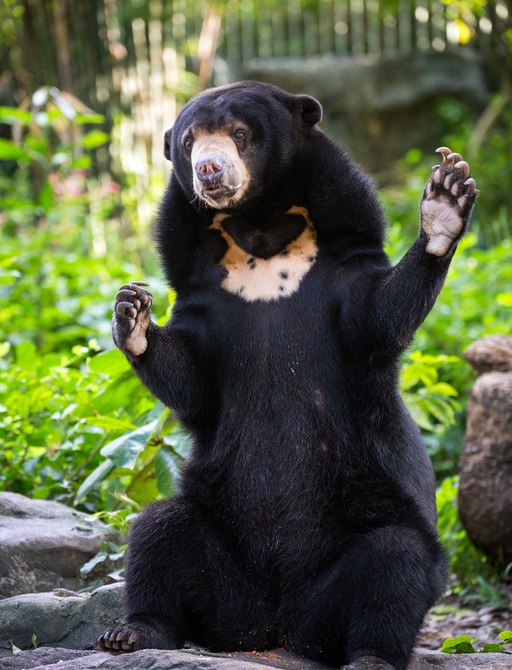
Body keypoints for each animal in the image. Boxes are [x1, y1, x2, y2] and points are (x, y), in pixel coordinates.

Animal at [97, 81, 477, 670]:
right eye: (189, 141)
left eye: (239, 133)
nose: (209, 170)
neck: (260, 230)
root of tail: (277, 628)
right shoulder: (203, 290)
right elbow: (193, 376)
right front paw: (131, 313)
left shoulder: (343, 267)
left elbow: (379, 314)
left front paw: (445, 200)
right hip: (221, 549)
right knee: (159, 531)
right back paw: (133, 632)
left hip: (365, 536)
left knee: (397, 562)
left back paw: (370, 655)